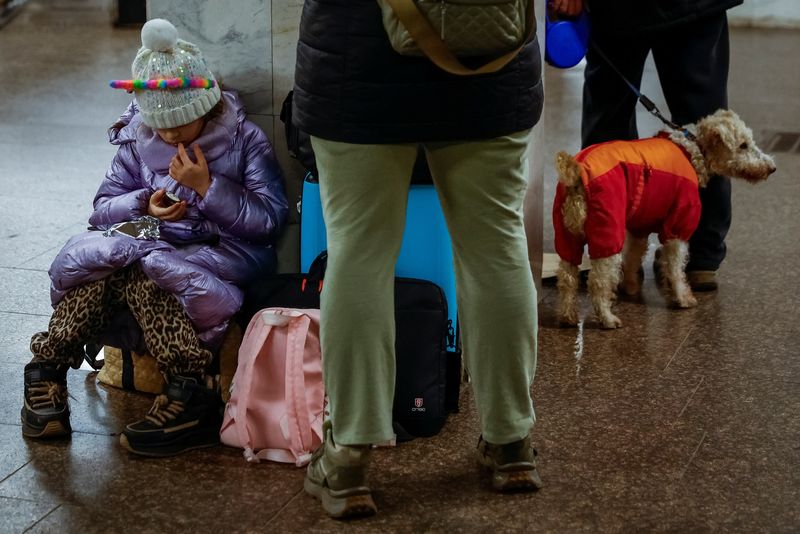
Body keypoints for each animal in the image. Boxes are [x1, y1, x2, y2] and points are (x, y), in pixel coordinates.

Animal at [552, 109, 772, 328]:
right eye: (743, 145)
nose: (772, 168)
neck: (692, 148)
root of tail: (576, 173)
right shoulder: (678, 225)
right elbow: (675, 268)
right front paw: (682, 298)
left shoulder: (639, 226)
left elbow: (632, 257)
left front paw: (630, 286)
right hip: (607, 232)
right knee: (598, 281)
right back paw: (607, 318)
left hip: (567, 236)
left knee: (567, 277)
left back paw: (567, 316)